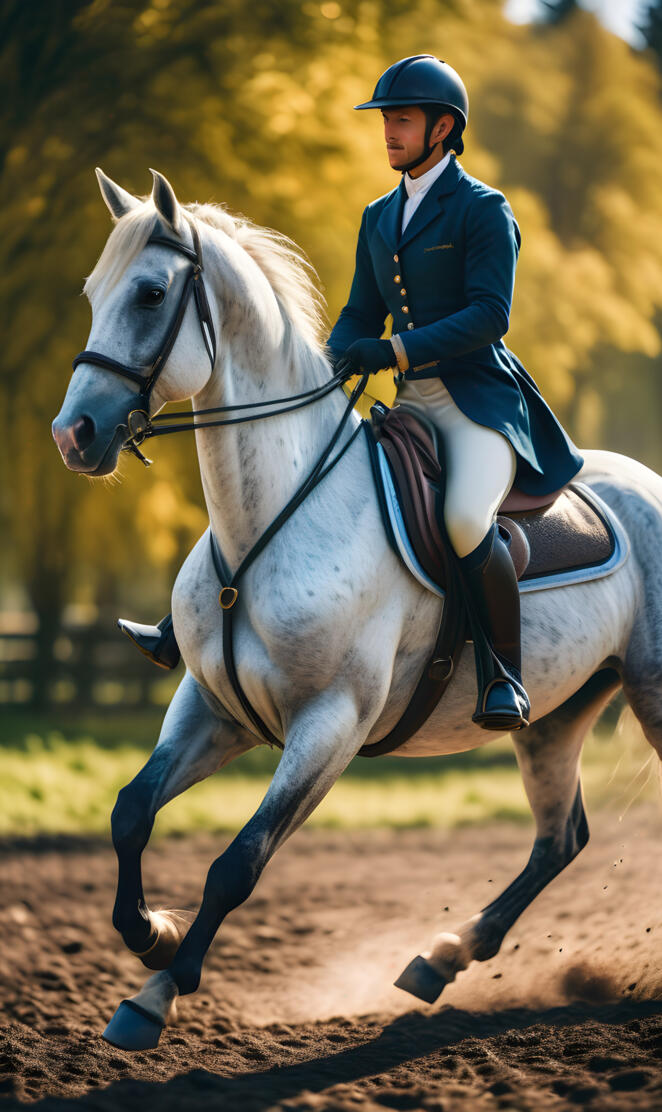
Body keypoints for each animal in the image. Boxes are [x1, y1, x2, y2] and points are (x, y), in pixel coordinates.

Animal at [52, 168, 662, 1051]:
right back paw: (441, 960)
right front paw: (153, 933)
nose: (74, 435)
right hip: (555, 715)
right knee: (561, 839)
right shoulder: (214, 707)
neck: (269, 522)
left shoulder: (329, 726)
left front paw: (156, 992)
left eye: (151, 293)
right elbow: (131, 812)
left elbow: (238, 863)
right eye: (93, 291)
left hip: (648, 692)